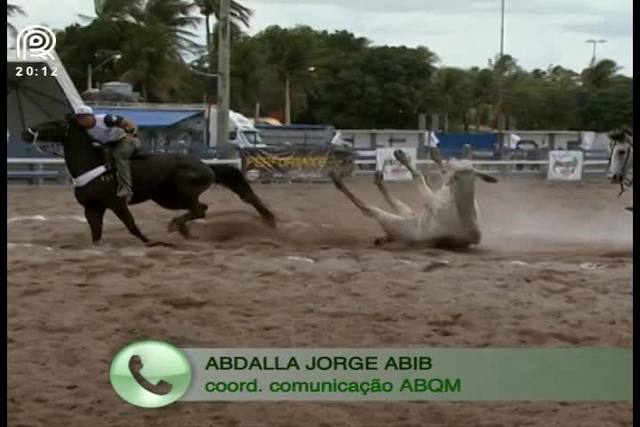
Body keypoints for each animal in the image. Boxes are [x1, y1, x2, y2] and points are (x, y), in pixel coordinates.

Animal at [21, 115, 276, 246]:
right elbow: (96, 234)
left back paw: (177, 226)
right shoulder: (92, 208)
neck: (92, 165)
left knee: (199, 209)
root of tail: (205, 165)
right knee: (200, 208)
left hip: (178, 195)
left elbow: (132, 226)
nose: (26, 132)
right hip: (166, 198)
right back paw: (184, 230)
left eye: (54, 123)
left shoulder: (117, 204)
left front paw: (151, 241)